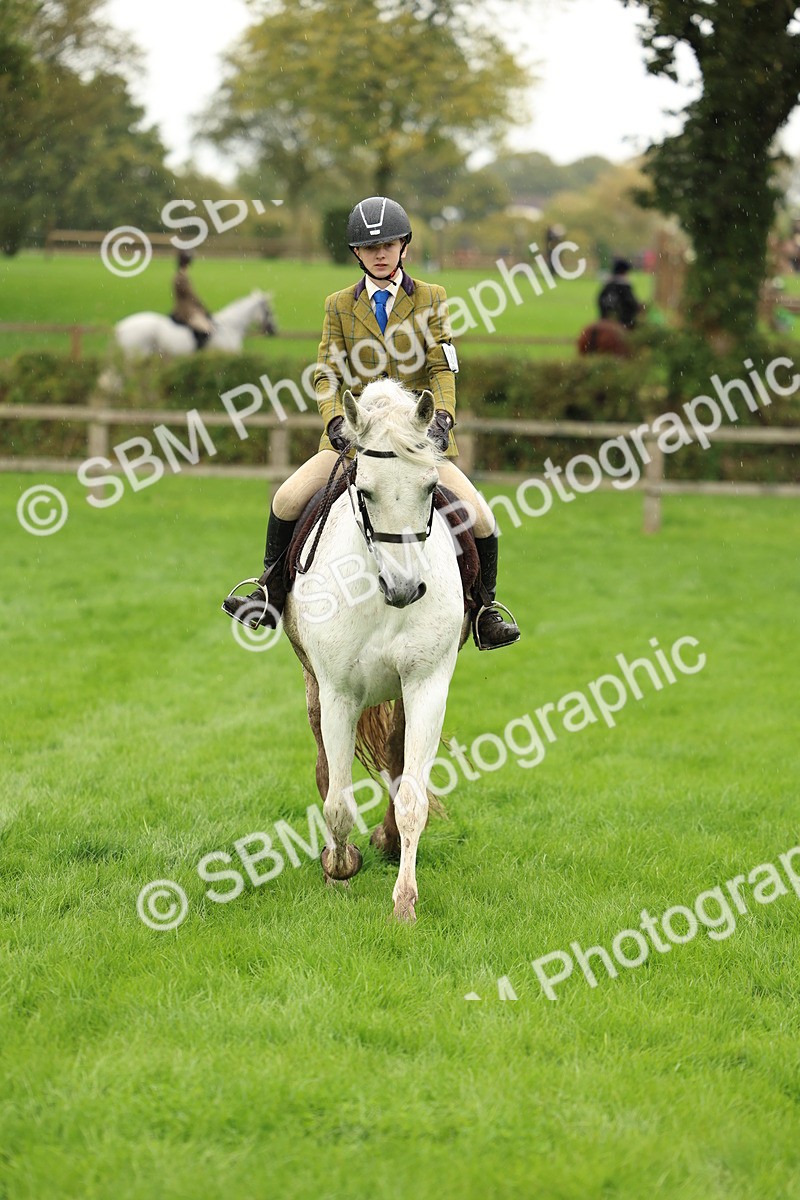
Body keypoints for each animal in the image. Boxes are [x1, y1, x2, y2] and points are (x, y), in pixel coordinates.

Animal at [281, 379, 469, 922]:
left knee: (395, 757)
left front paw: (404, 902)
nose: (405, 590)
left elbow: (412, 798)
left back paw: (385, 842)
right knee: (326, 768)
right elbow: (337, 799)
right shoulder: (338, 691)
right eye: (363, 491)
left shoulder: (427, 684)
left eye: (430, 488)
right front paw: (339, 868)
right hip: (314, 686)